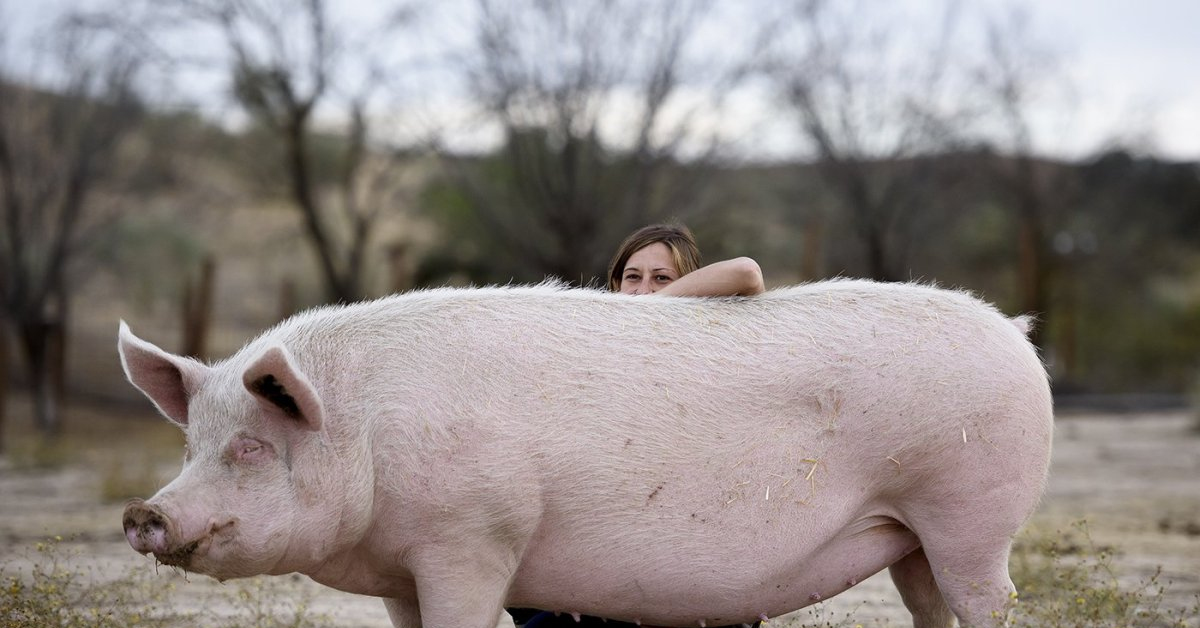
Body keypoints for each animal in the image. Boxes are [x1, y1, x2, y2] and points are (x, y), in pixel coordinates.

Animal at [121, 280, 1056, 628]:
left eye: (250, 446)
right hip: (912, 537)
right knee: (930, 604)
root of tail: (1014, 331)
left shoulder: (471, 540)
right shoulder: (398, 574)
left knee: (989, 598)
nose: (143, 511)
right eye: (192, 443)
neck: (365, 428)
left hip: (972, 512)